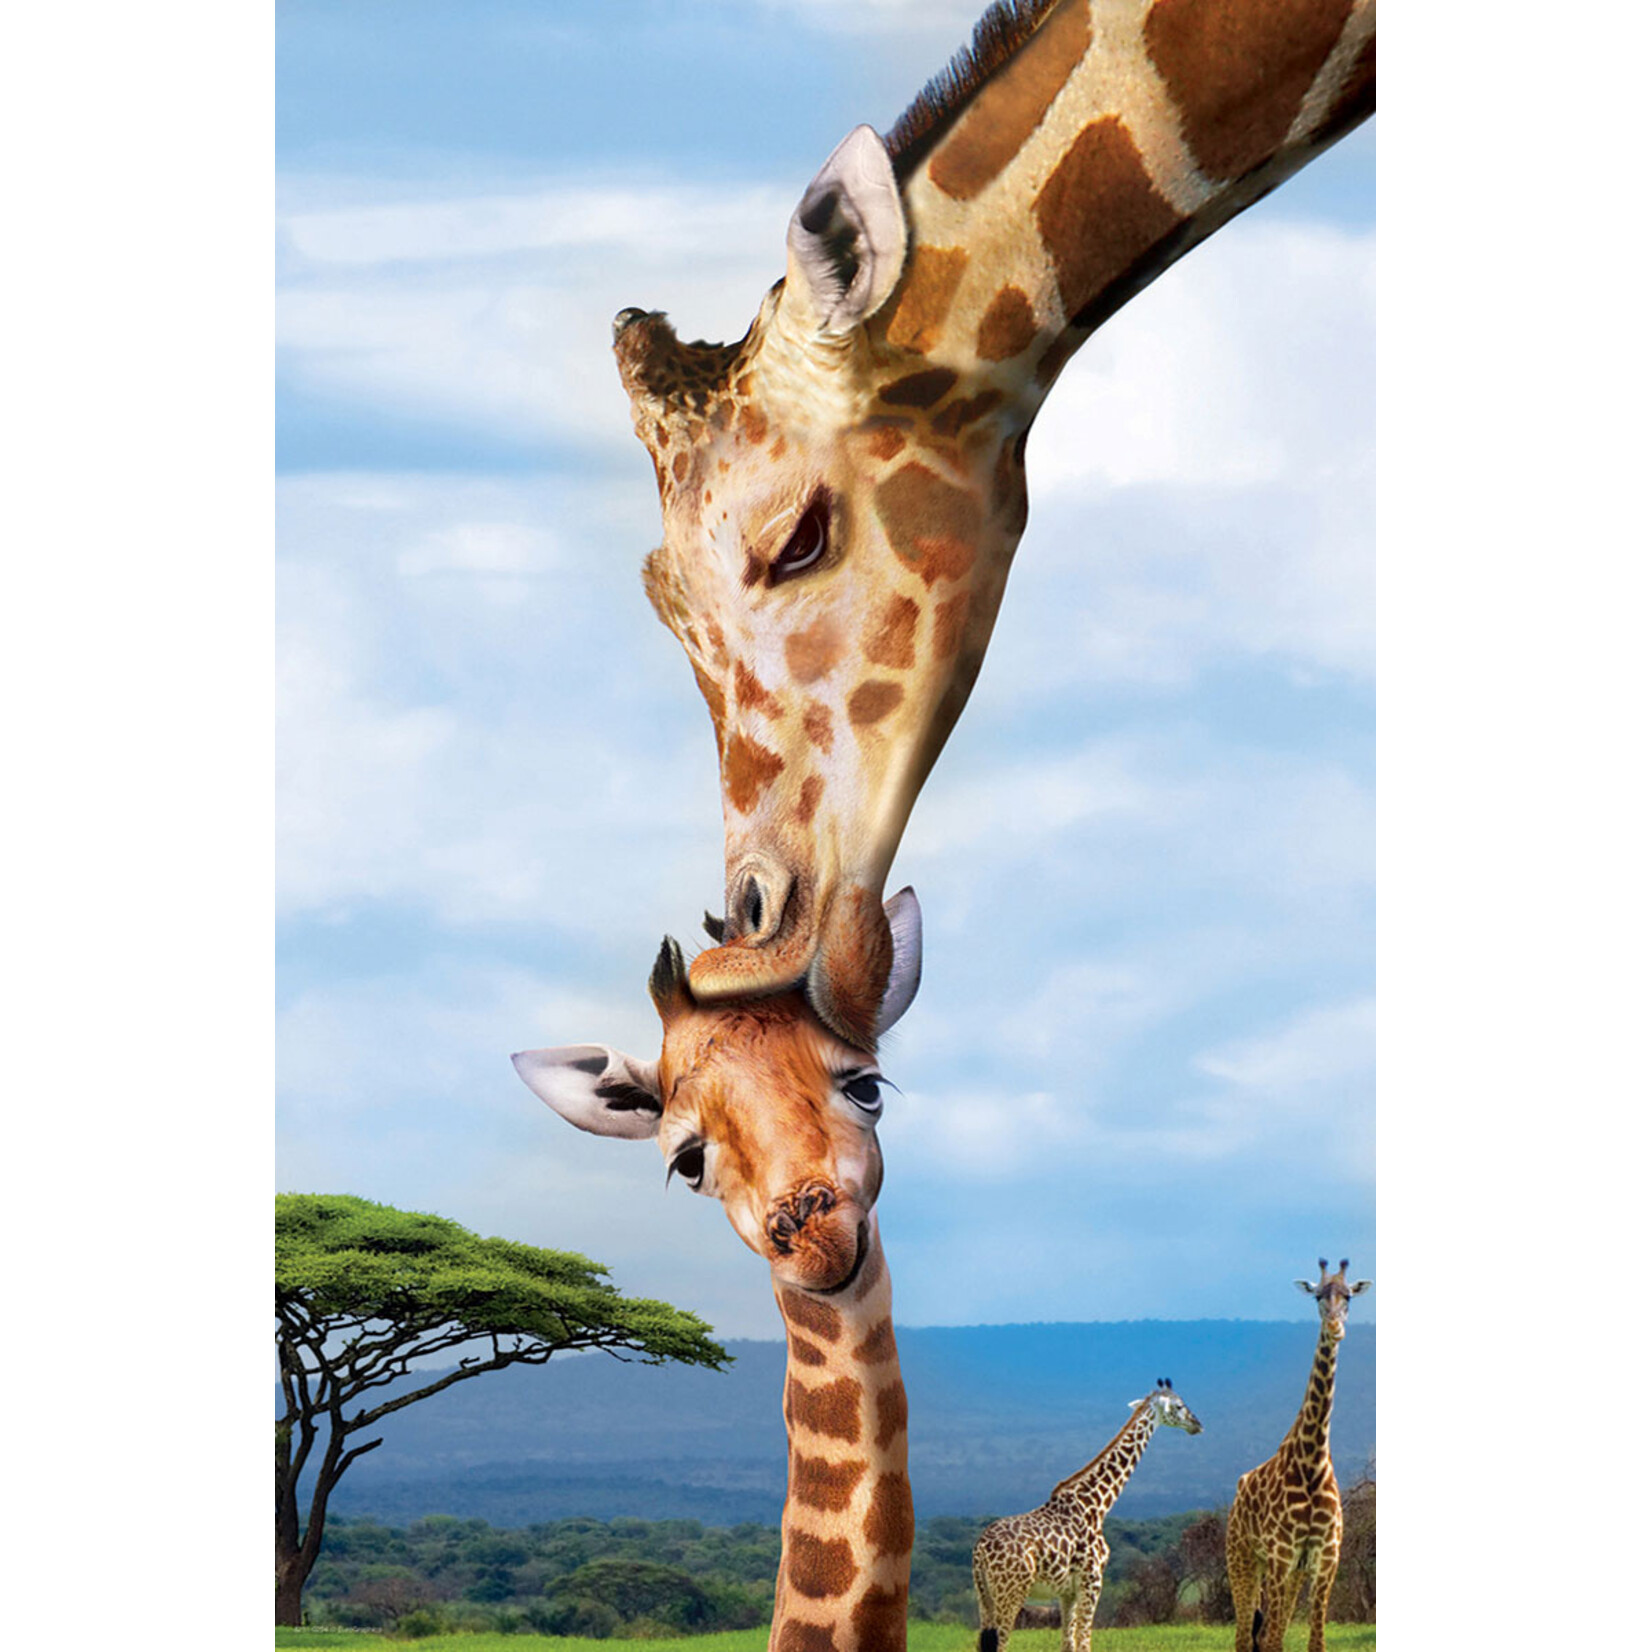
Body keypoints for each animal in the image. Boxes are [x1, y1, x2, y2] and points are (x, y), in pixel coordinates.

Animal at [972, 1379, 1203, 1652]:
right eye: (1179, 1406)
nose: (1197, 1425)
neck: (1096, 1505)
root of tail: (980, 1551)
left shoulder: (1067, 1591)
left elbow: (1068, 1643)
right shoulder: (1092, 1581)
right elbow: (1084, 1642)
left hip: (984, 1596)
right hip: (1010, 1593)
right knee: (1001, 1643)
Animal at [1226, 1259, 1371, 1652]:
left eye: (1349, 1296)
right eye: (1318, 1296)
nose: (1335, 1328)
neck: (1312, 1460)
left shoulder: (1325, 1558)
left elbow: (1315, 1642)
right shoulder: (1280, 1555)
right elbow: (1274, 1640)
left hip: (1291, 1572)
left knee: (1260, 1634)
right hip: (1242, 1559)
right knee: (1246, 1636)